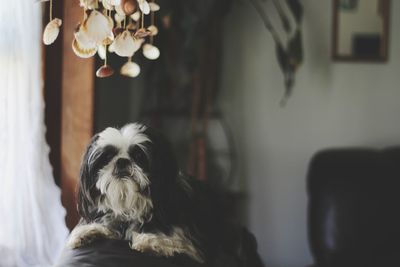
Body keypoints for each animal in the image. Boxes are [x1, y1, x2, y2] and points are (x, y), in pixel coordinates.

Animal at [67, 123, 222, 264]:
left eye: (138, 156)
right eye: (108, 156)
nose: (122, 161)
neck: (131, 202)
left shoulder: (189, 240)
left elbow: (173, 237)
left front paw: (151, 240)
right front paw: (87, 232)